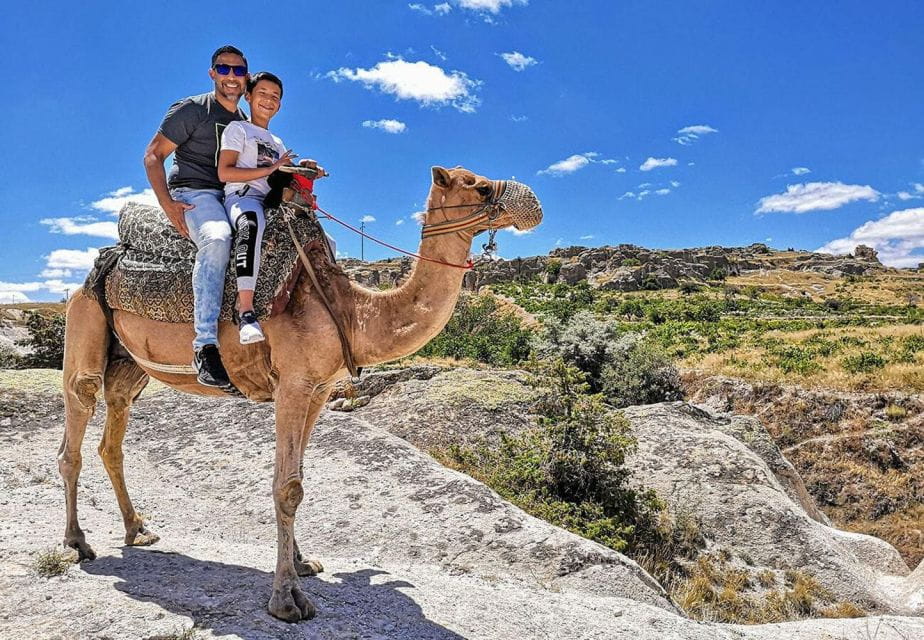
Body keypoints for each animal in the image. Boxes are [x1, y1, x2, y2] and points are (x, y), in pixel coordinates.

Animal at [57, 166, 542, 622]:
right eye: (478, 186)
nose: (531, 202)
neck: (351, 310)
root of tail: (99, 266)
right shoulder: (292, 384)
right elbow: (287, 486)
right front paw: (287, 598)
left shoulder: (319, 389)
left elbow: (300, 478)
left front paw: (303, 562)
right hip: (84, 323)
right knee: (76, 423)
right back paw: (77, 542)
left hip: (129, 365)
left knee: (113, 435)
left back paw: (137, 529)